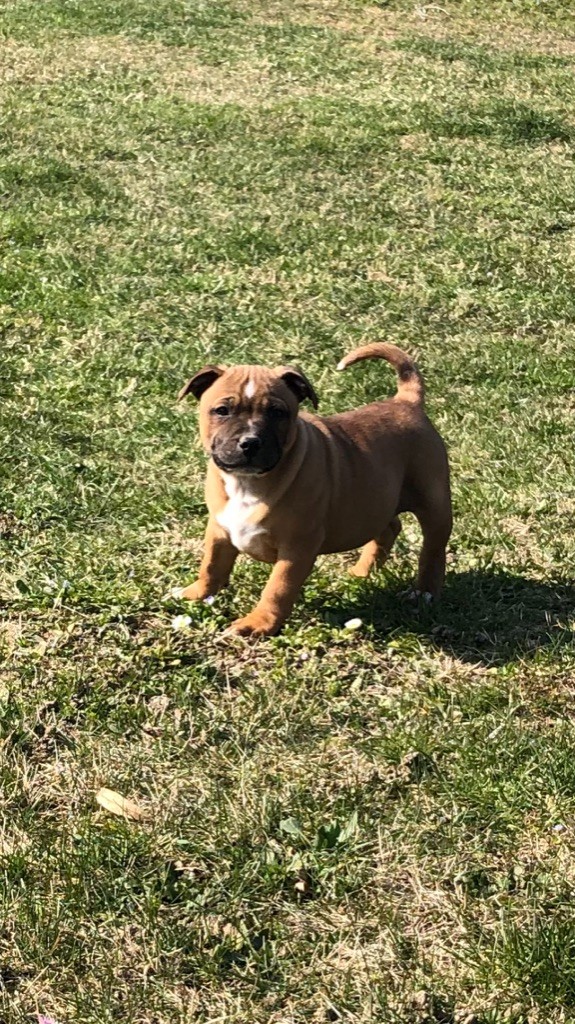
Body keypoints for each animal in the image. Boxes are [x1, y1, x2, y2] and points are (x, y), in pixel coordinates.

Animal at [171, 344, 450, 630]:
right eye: (222, 411)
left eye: (277, 412)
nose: (250, 442)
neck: (247, 482)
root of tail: (406, 401)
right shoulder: (219, 528)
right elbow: (211, 565)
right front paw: (197, 593)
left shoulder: (297, 546)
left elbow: (278, 587)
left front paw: (259, 623)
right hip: (375, 500)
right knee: (389, 528)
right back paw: (362, 573)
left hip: (434, 503)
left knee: (433, 549)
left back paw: (423, 593)